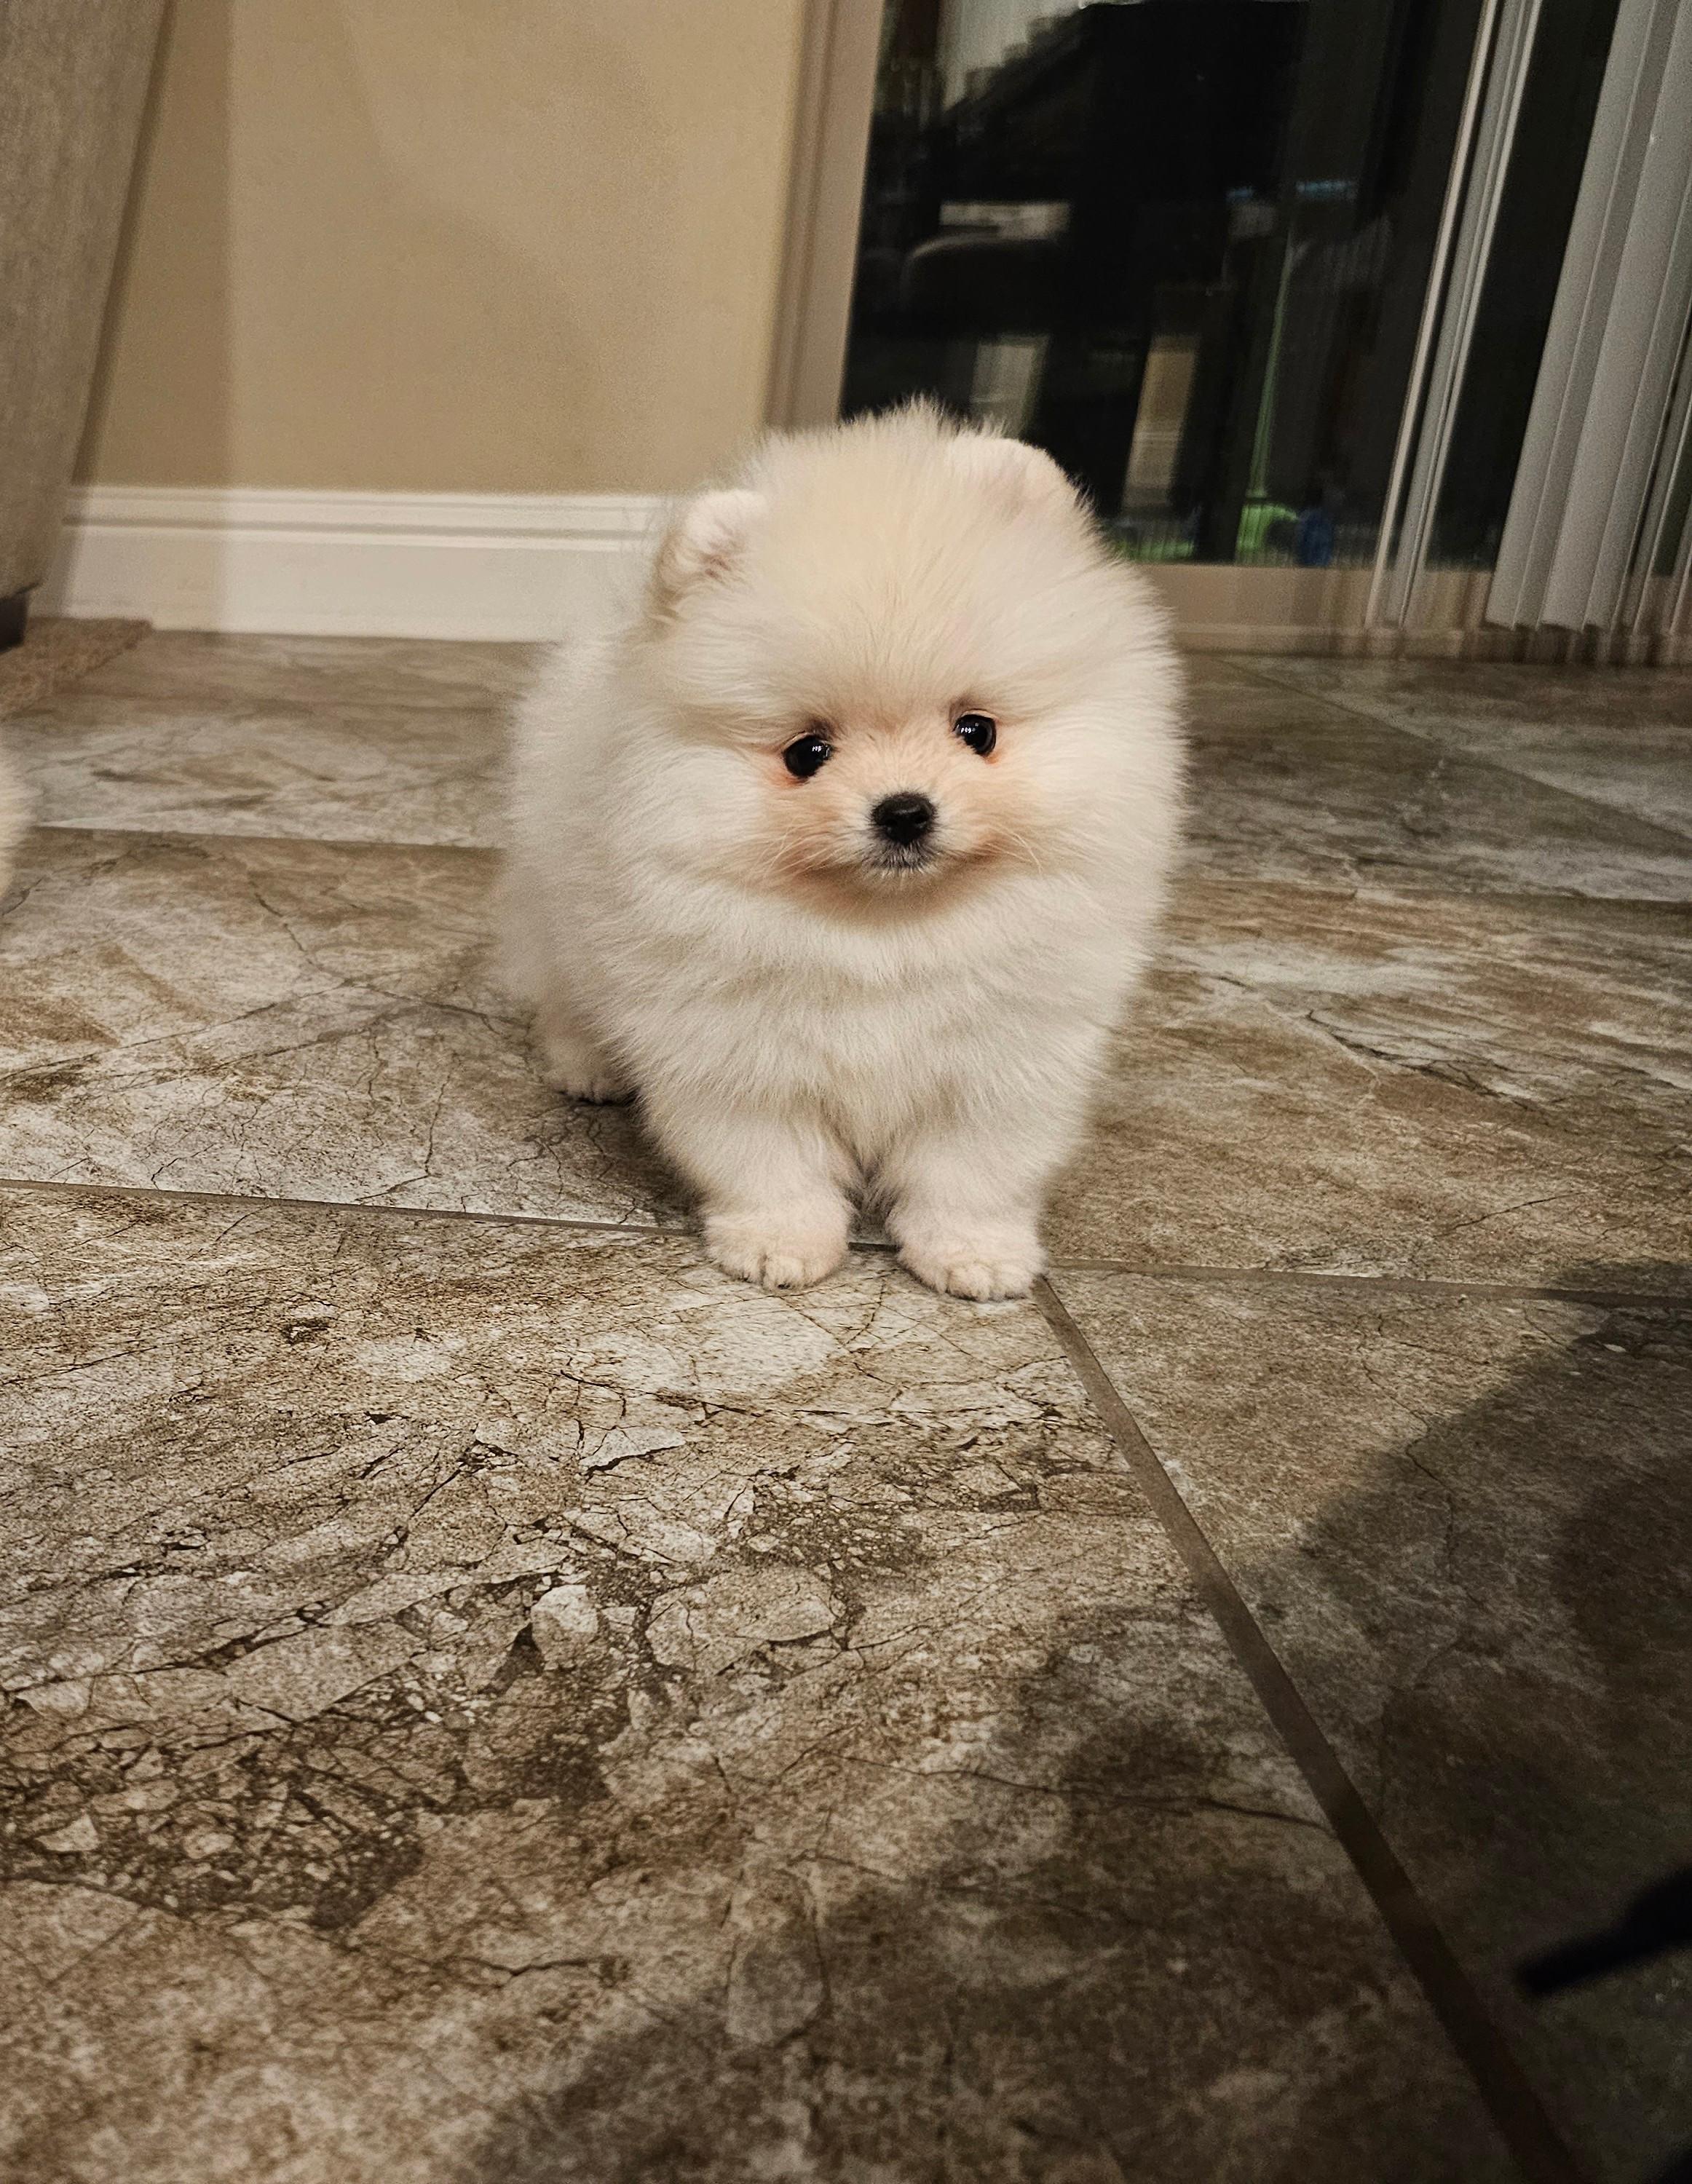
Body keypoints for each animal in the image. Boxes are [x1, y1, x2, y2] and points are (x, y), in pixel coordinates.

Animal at [500, 404, 1183, 1299]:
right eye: (806, 754)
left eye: (977, 731)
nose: (904, 811)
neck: (883, 935)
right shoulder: (736, 1053)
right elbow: (768, 1162)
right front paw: (779, 1241)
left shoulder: (1004, 1061)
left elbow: (972, 1171)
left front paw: (973, 1252)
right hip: (557, 904)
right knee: (566, 989)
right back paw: (589, 1065)